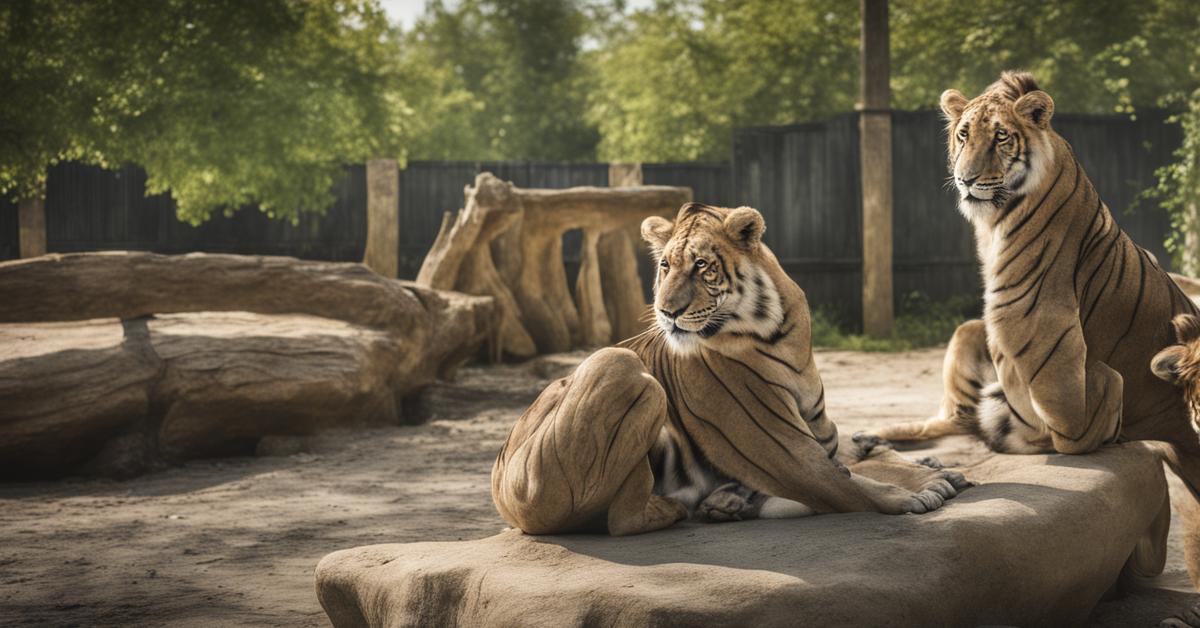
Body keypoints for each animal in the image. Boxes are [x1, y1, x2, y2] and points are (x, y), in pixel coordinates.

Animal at [492, 201, 969, 535]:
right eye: (665, 266)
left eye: (701, 266)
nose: (666, 311)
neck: (783, 334)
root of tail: (500, 488)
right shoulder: (786, 452)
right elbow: (850, 486)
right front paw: (919, 495)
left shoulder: (820, 439)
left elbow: (865, 463)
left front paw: (934, 471)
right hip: (616, 369)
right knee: (618, 522)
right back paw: (681, 508)